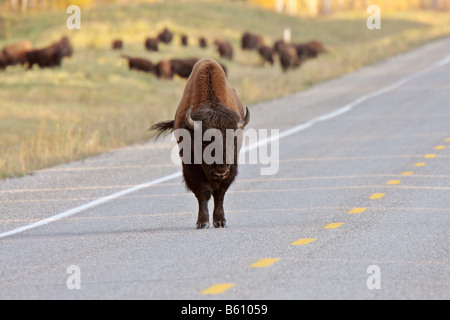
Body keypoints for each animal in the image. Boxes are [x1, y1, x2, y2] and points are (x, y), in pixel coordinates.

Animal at [151, 57, 250, 228]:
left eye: (233, 140)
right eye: (204, 143)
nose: (220, 172)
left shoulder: (231, 168)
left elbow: (219, 193)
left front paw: (220, 221)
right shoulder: (190, 167)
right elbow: (202, 193)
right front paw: (202, 222)